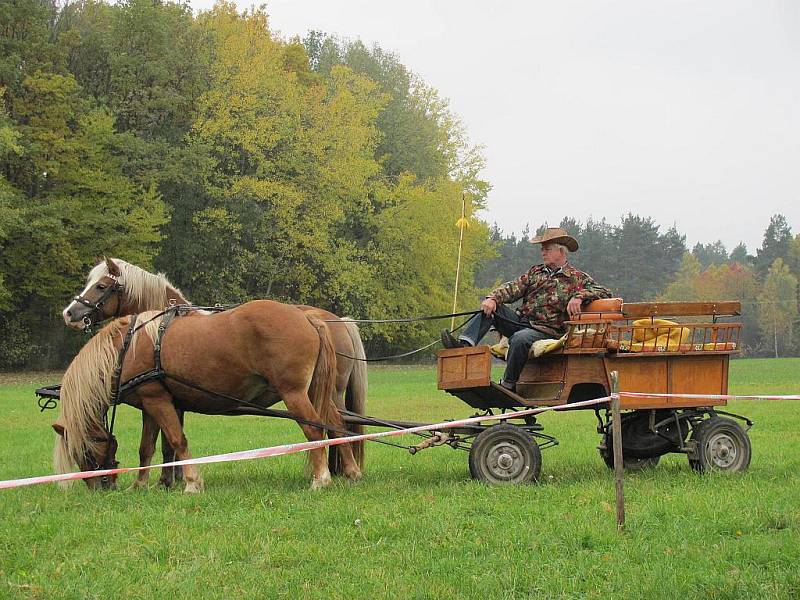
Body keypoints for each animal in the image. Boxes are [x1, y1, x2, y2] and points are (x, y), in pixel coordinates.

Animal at [62, 256, 368, 482]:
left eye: (102, 286)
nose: (70, 313)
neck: (154, 329)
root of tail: (310, 318)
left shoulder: (161, 399)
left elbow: (170, 442)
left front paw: (171, 481)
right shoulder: (169, 401)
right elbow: (156, 446)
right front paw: (161, 481)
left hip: (297, 393)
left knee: (318, 430)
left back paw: (325, 476)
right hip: (320, 392)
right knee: (337, 426)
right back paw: (350, 471)